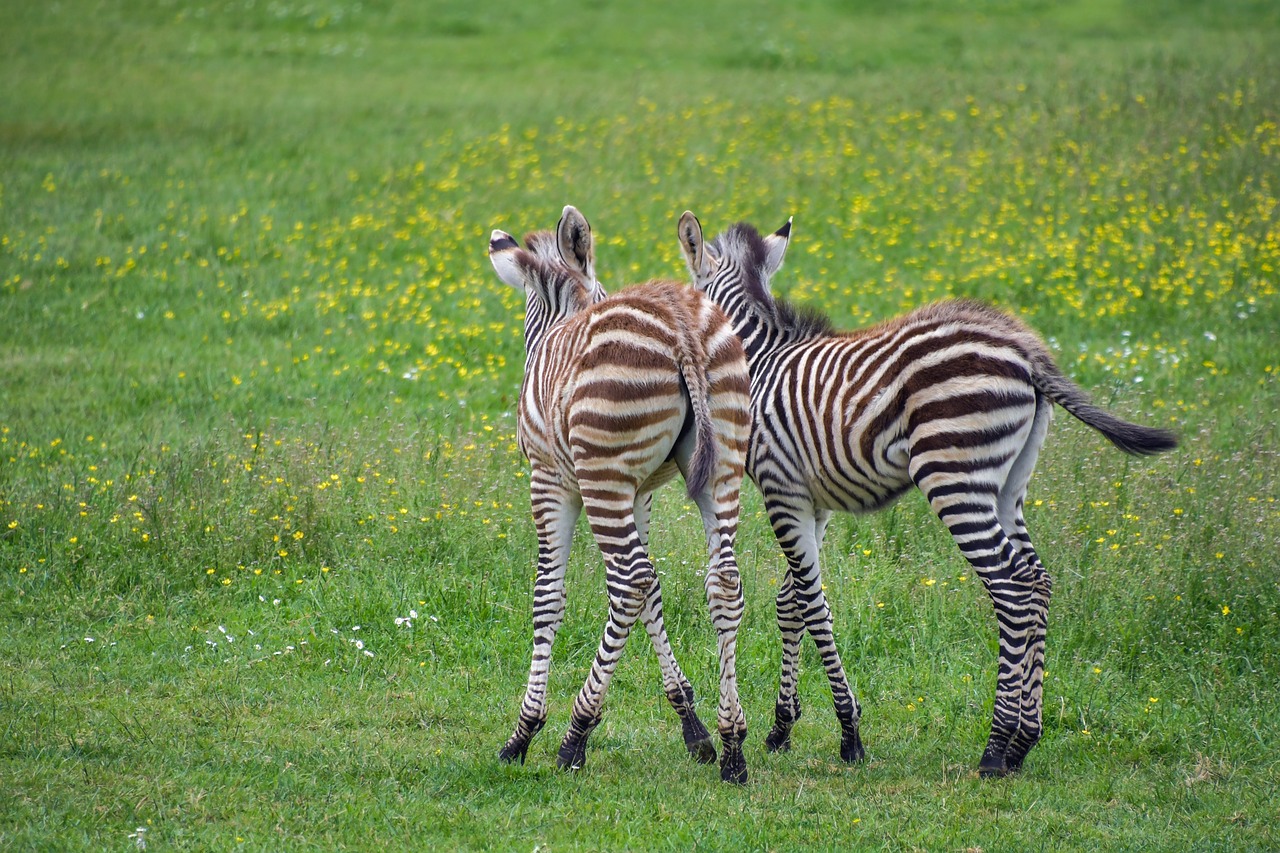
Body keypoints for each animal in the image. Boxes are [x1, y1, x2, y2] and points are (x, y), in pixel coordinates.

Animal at [486, 208, 747, 778]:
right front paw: (692, 725)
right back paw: (733, 746)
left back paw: (574, 737)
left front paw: (524, 731)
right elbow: (654, 595)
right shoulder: (642, 491)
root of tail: (680, 323)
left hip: (602, 475)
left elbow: (549, 597)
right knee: (722, 583)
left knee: (630, 580)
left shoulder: (551, 480)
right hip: (722, 469)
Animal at [680, 208, 1177, 773]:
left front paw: (849, 731)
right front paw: (783, 726)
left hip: (953, 477)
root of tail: (1025, 350)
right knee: (1037, 579)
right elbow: (793, 600)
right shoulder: (813, 501)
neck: (759, 364)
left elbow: (812, 602)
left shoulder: (780, 489)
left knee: (1011, 587)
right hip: (1008, 485)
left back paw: (995, 749)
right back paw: (1024, 742)